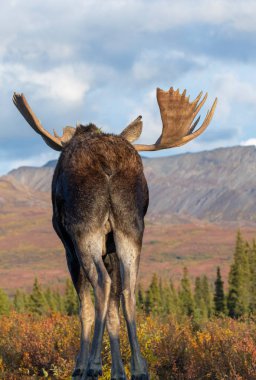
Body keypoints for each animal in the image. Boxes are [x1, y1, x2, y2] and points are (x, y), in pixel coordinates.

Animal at [12, 87, 216, 380]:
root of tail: (108, 160)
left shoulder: (69, 249)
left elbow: (85, 307)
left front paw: (81, 365)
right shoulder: (110, 250)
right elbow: (113, 312)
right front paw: (119, 371)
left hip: (85, 230)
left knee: (101, 283)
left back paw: (93, 364)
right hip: (130, 227)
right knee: (129, 290)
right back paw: (140, 368)